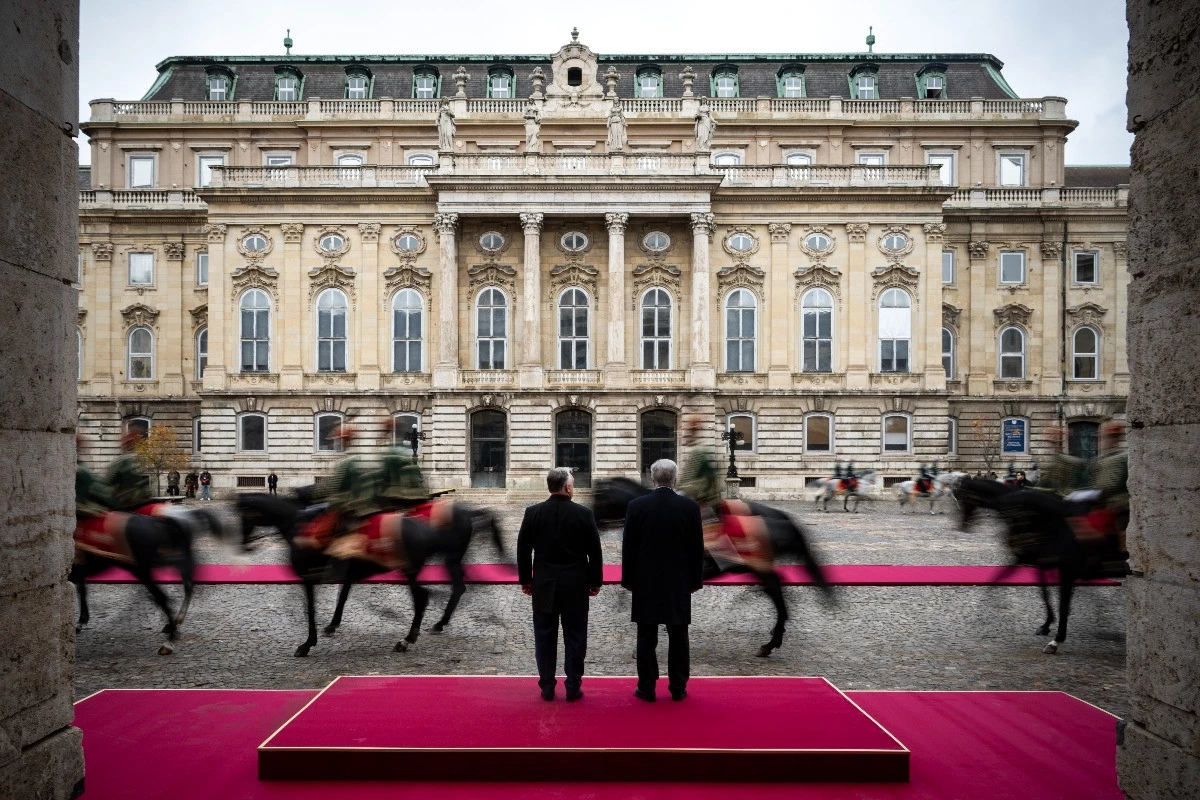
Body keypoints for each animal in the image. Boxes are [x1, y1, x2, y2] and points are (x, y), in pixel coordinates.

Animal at [70, 510, 224, 652]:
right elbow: (82, 591)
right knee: (186, 575)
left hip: (142, 567)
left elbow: (80, 590)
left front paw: (80, 622)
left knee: (165, 594)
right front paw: (81, 621)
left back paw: (170, 638)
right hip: (155, 561)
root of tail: (156, 521)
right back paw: (174, 623)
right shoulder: (78, 573)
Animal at [231, 494, 504, 657]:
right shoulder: (347, 573)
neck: (298, 526)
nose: (244, 546)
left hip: (424, 566)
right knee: (458, 586)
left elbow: (310, 609)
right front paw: (331, 625)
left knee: (426, 596)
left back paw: (410, 637)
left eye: (242, 516)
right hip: (445, 559)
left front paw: (307, 643)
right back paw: (439, 622)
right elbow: (342, 597)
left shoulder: (309, 579)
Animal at [592, 482, 835, 657]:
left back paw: (770, 642)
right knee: (777, 591)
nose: (594, 522)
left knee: (776, 592)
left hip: (759, 566)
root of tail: (780, 518)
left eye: (599, 499)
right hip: (759, 567)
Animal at [955, 479, 1123, 652]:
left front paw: (1057, 639)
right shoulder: (1037, 562)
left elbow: (1062, 603)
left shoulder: (1062, 569)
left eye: (963, 499)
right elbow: (1042, 592)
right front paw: (1046, 624)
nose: (963, 526)